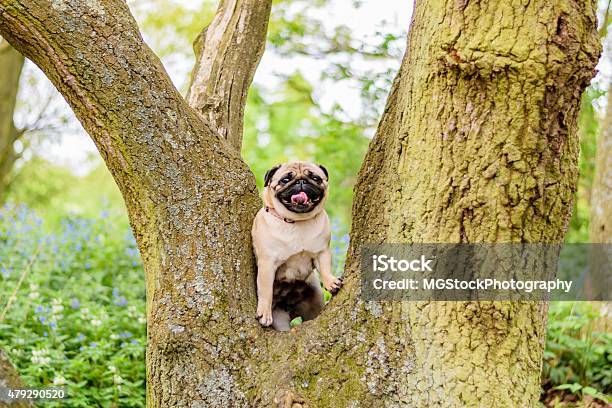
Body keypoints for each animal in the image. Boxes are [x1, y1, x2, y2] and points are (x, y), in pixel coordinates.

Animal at [251, 161, 342, 330]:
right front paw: (264, 313)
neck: (297, 221)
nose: (301, 181)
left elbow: (325, 269)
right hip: (280, 320)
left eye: (315, 178)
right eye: (285, 180)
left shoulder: (322, 252)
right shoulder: (267, 264)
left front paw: (331, 282)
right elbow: (265, 292)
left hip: (314, 302)